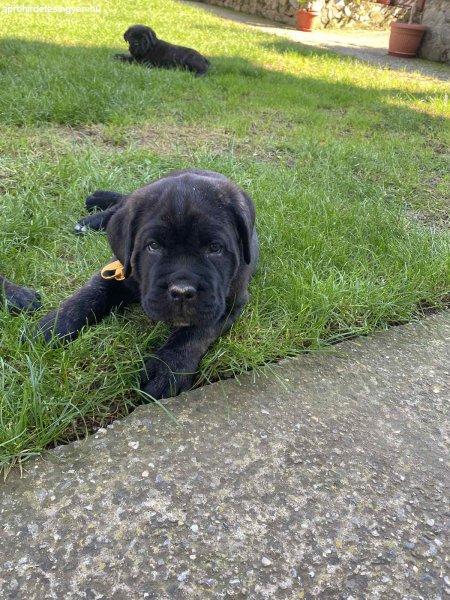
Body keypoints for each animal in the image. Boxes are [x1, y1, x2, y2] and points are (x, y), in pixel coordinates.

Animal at [38, 169, 256, 398]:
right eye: (153, 246)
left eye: (215, 247)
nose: (181, 292)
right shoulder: (118, 271)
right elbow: (91, 293)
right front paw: (54, 325)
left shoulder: (228, 301)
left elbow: (195, 332)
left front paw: (167, 369)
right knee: (120, 206)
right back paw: (93, 215)